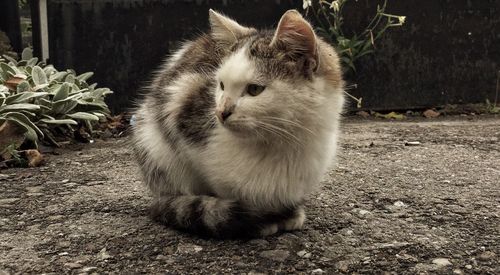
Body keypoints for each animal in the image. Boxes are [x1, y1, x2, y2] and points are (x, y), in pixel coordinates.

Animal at [131, 9, 346, 239]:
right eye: (221, 85)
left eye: (254, 89)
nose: (220, 112)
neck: (282, 142)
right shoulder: (181, 103)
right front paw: (256, 216)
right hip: (150, 140)